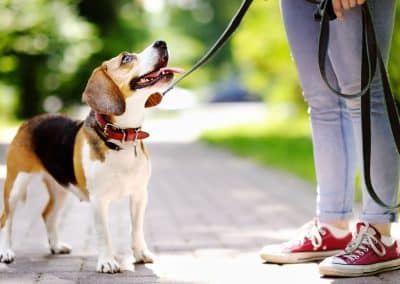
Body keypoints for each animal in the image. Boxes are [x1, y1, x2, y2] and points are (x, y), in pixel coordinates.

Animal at [0, 40, 183, 272]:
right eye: (126, 58)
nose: (161, 42)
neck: (121, 137)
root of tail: (28, 121)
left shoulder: (139, 195)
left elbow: (136, 228)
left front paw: (140, 254)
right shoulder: (99, 200)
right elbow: (104, 233)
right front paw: (107, 262)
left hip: (60, 188)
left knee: (48, 215)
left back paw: (56, 246)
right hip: (15, 184)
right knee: (5, 218)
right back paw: (6, 252)